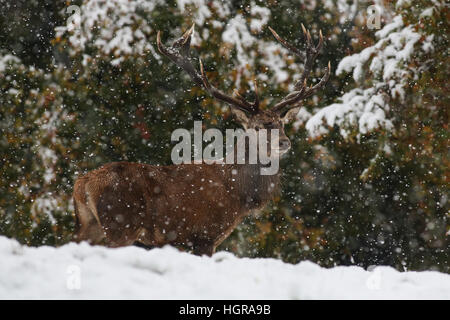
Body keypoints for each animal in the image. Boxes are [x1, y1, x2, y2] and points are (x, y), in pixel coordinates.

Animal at [72, 23, 328, 256]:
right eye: (257, 127)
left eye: (282, 124)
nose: (284, 142)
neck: (237, 193)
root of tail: (83, 184)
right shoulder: (205, 235)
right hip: (121, 223)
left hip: (89, 225)